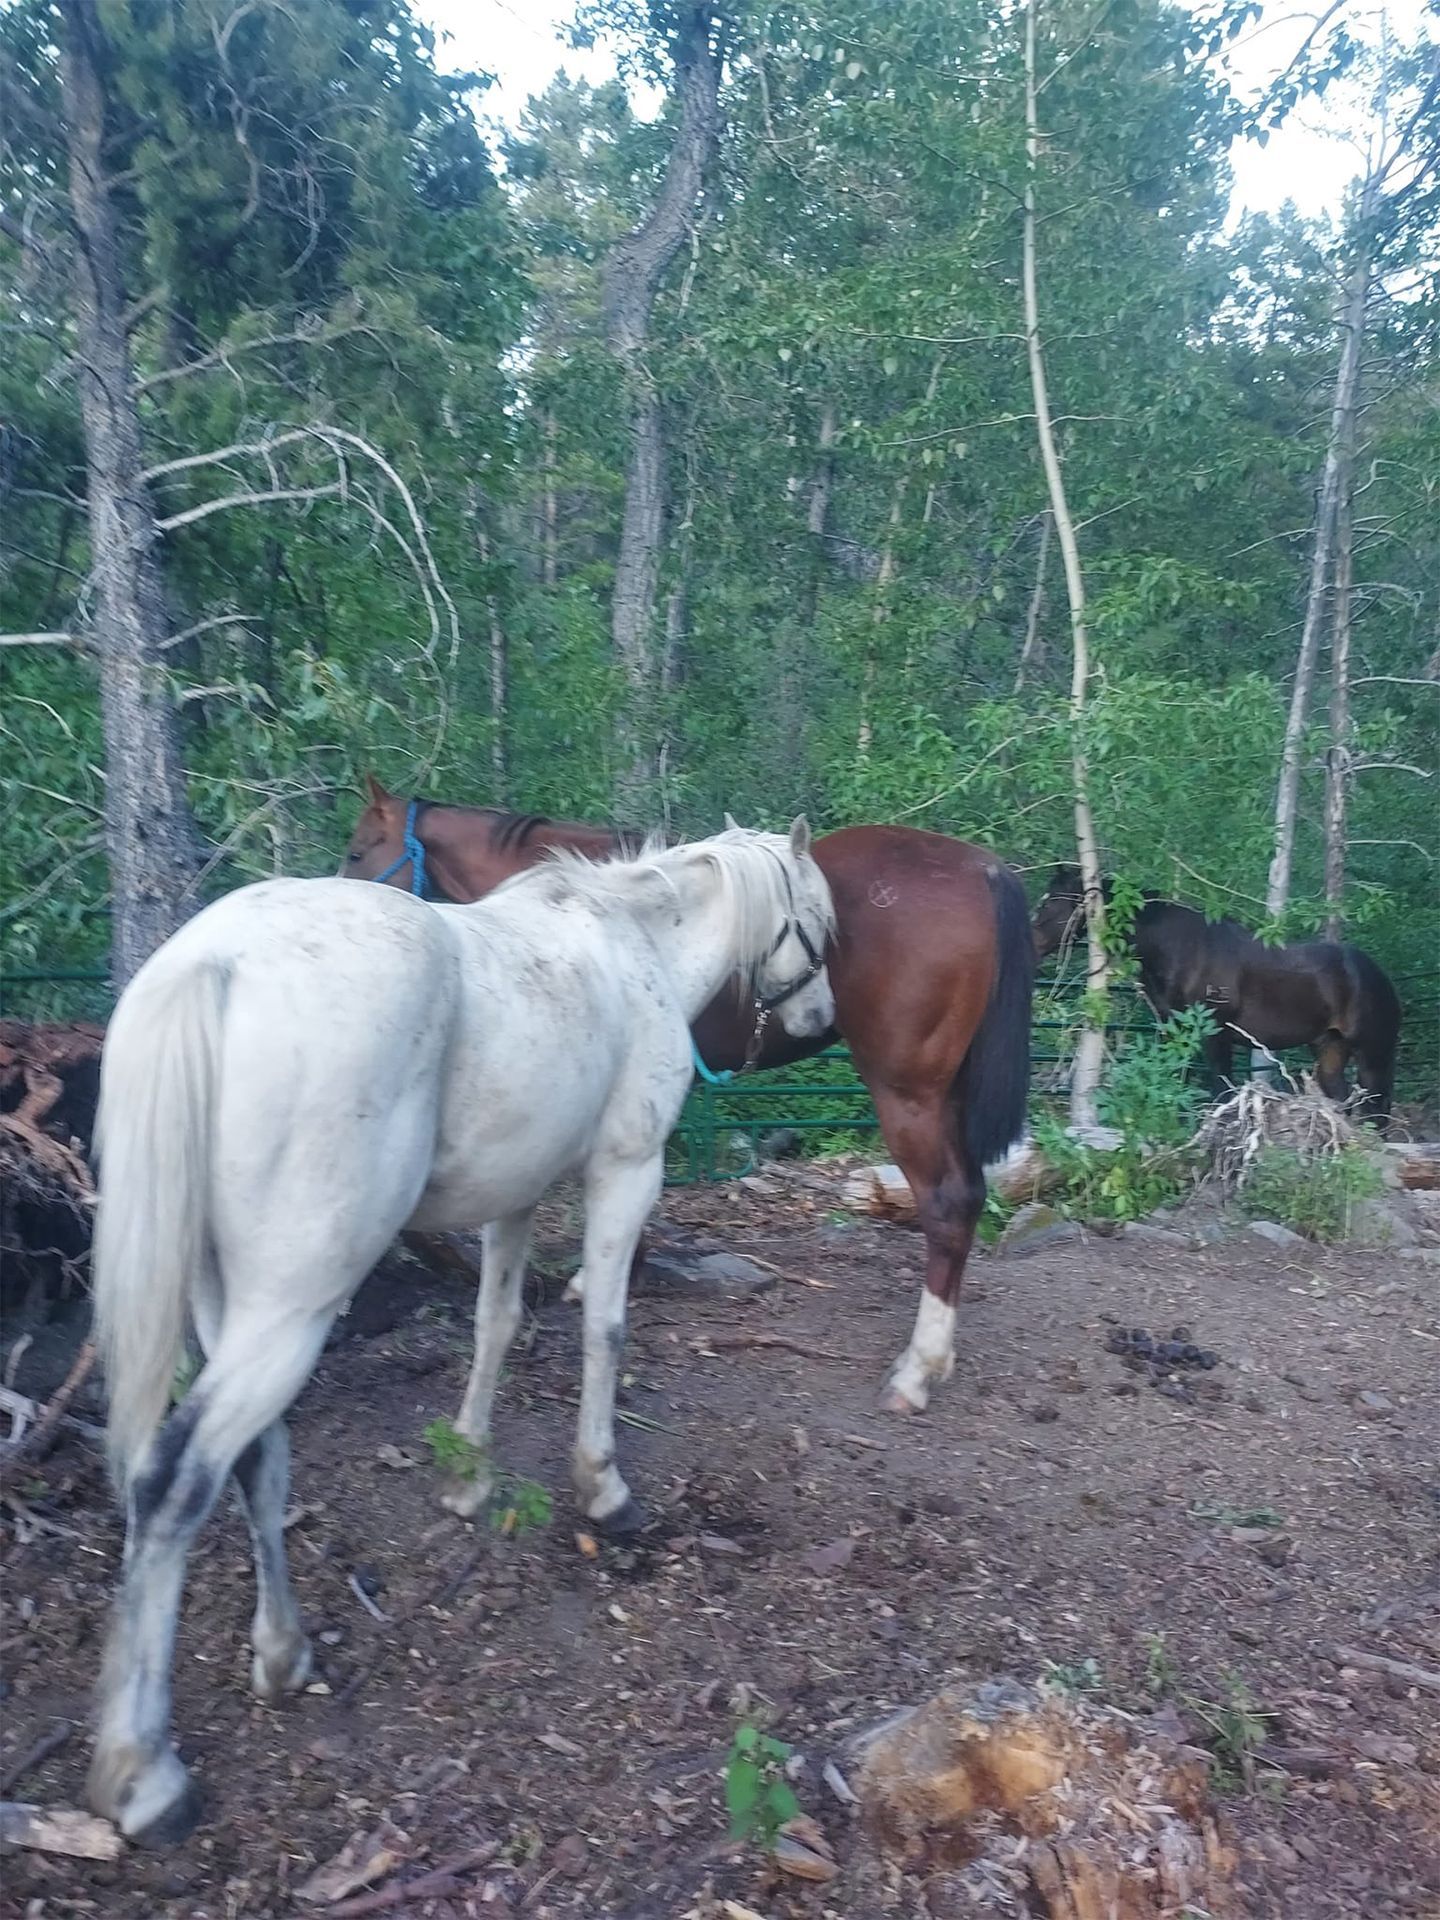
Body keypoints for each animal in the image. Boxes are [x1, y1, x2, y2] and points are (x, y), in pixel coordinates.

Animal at [87, 824, 835, 1845]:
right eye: (822, 917)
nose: (823, 1019)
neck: (633, 943)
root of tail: (215, 962)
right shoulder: (626, 1171)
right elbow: (605, 1326)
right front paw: (604, 1491)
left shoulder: (515, 1194)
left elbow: (496, 1324)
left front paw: (468, 1476)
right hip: (292, 1308)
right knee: (173, 1480)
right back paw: (145, 1776)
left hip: (227, 1305)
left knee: (252, 1462)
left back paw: (283, 1653)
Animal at [343, 778, 1036, 1416]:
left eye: (357, 849)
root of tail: (981, 867)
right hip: (944, 1092)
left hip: (908, 1093)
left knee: (946, 1203)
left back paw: (916, 1371)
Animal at [1031, 864, 1401, 1127]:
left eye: (1054, 901)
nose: (1032, 943)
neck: (1179, 948)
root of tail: (1378, 975)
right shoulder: (1174, 1030)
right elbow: (1176, 1081)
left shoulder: (1215, 1035)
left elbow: (1220, 1090)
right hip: (1330, 1050)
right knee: (1344, 1101)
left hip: (1373, 1053)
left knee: (1377, 1109)